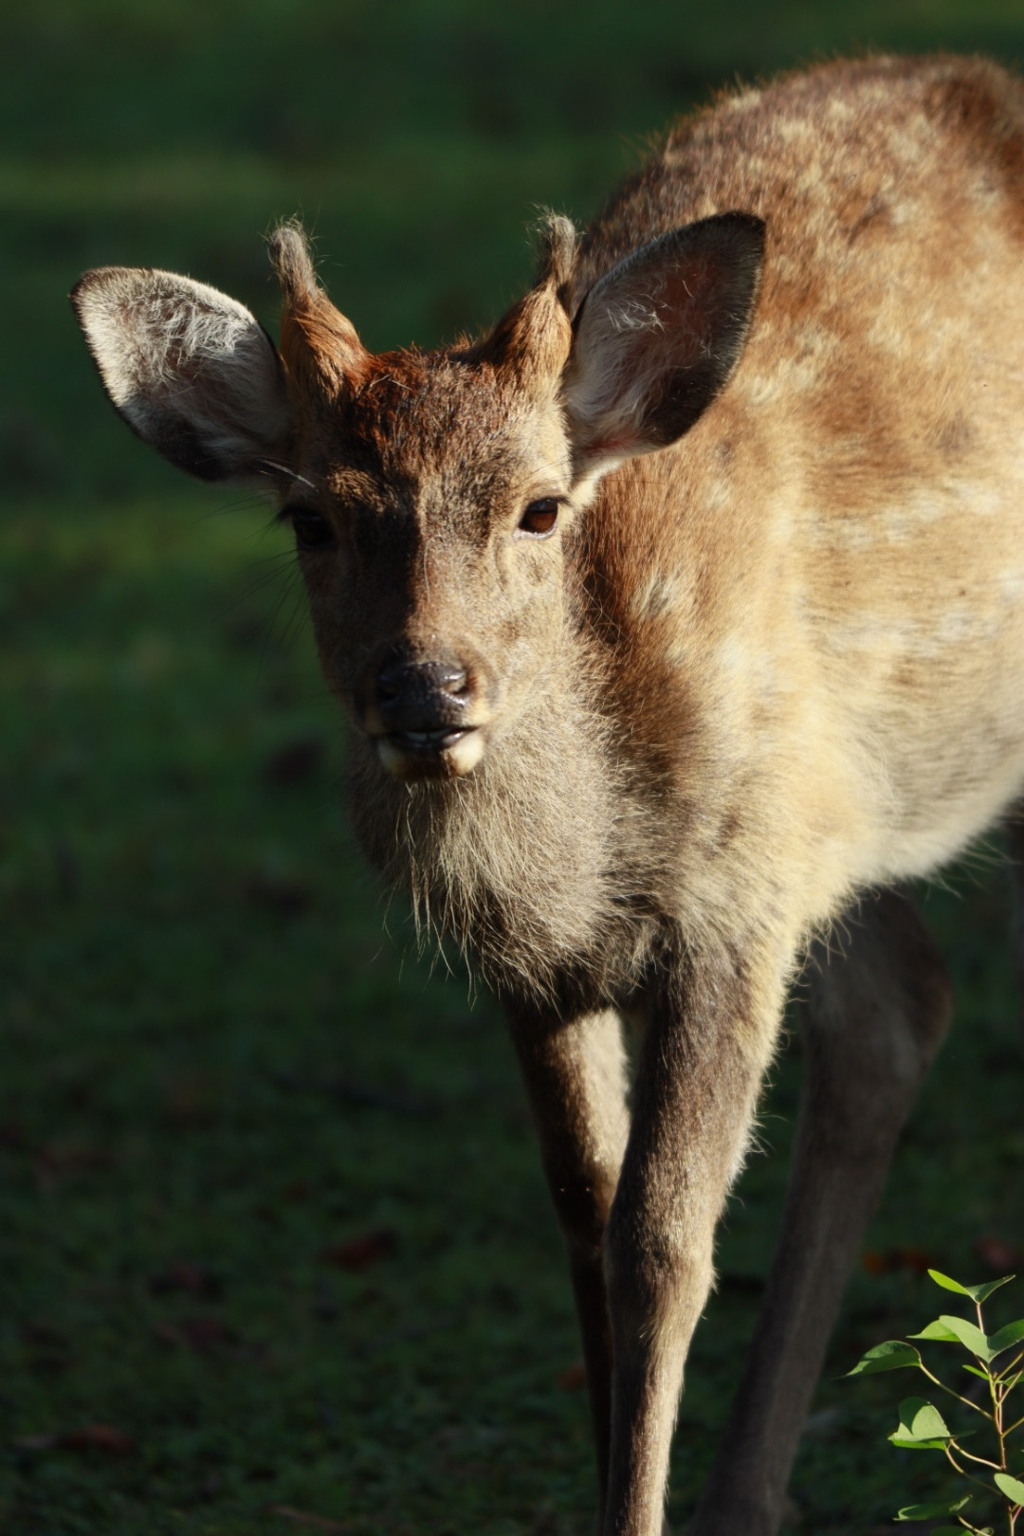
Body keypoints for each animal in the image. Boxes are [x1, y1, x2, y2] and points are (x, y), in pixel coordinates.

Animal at [70, 51, 1024, 1536]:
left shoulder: (741, 902)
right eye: (310, 518)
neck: (596, 854)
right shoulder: (557, 961)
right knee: (896, 1010)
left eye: (535, 507)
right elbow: (583, 1219)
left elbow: (663, 1242)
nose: (425, 685)